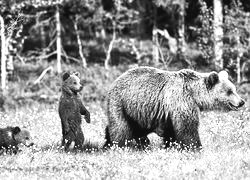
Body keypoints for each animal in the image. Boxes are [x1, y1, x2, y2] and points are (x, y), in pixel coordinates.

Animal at [104, 67, 245, 150]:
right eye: (229, 91)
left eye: (234, 89)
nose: (241, 102)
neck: (194, 94)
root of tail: (116, 80)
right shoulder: (182, 101)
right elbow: (188, 129)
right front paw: (196, 148)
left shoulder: (167, 112)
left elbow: (171, 131)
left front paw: (171, 146)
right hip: (121, 103)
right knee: (120, 127)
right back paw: (118, 146)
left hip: (138, 112)